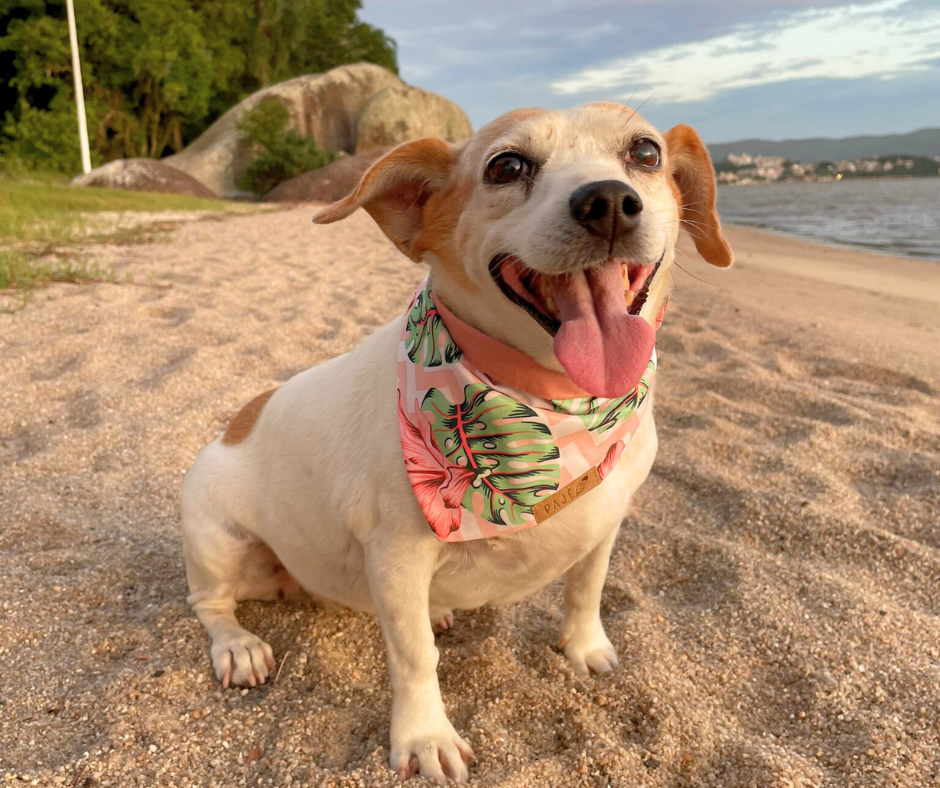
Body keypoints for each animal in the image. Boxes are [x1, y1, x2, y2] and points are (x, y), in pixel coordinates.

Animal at [180, 103, 732, 780]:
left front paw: (584, 647)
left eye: (646, 153)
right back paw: (238, 646)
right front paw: (424, 738)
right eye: (507, 166)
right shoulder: (396, 556)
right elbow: (415, 658)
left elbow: (587, 588)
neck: (554, 401)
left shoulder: (606, 519)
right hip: (217, 539)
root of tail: (234, 425)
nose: (607, 200)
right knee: (210, 603)